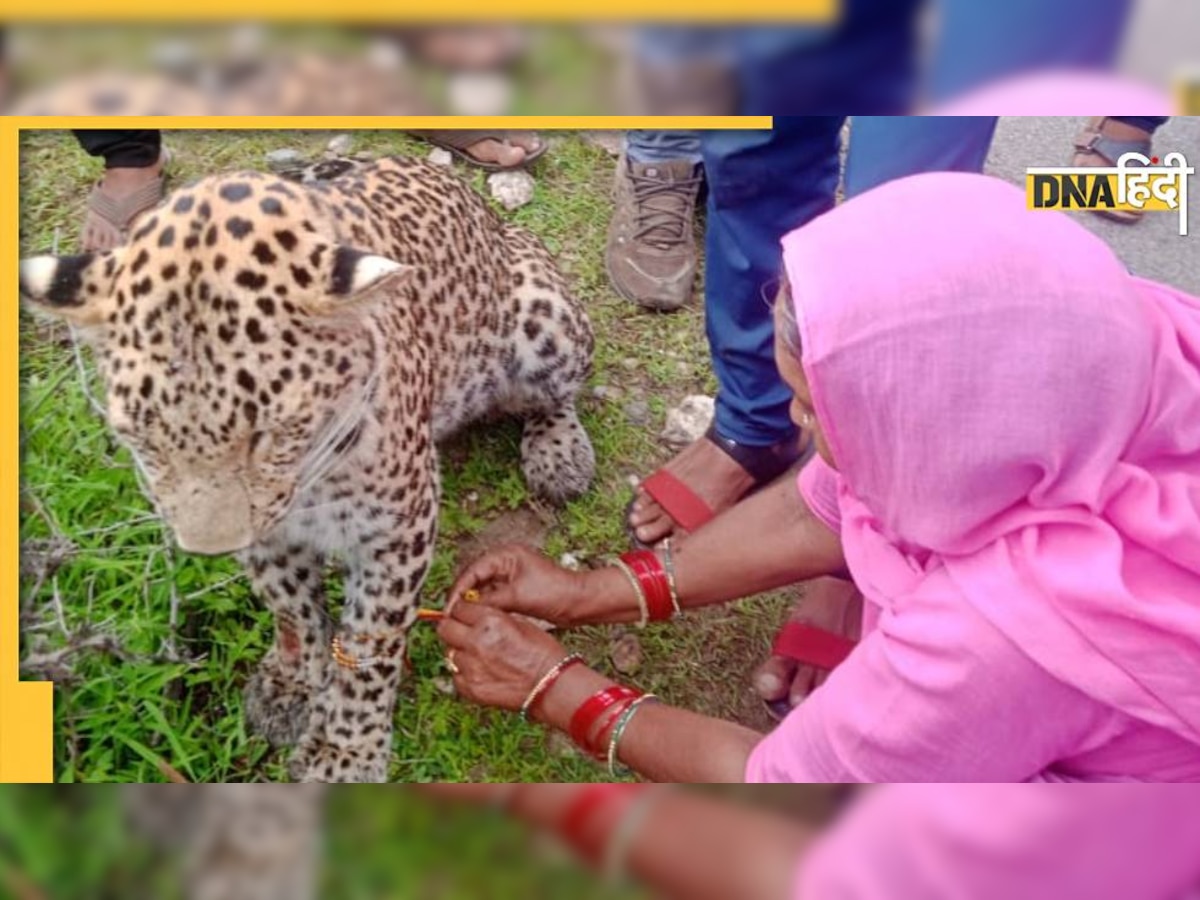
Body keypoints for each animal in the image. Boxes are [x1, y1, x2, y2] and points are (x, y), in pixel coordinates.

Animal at [19, 154, 595, 782]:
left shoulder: (398, 527)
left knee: (555, 394)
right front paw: (292, 685)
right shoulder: (270, 532)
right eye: (143, 439)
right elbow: (291, 606)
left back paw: (560, 452)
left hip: (546, 319)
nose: (210, 549)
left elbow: (371, 639)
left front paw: (347, 748)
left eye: (268, 434)